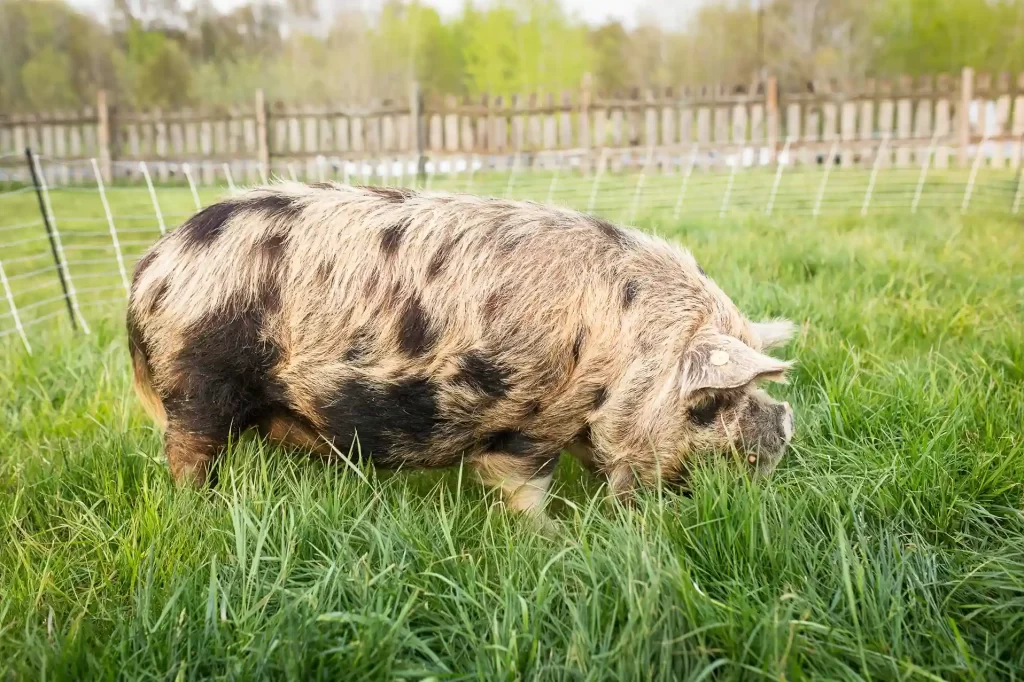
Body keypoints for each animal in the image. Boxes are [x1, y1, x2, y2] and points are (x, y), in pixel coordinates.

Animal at [128, 183, 794, 518]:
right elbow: (522, 484)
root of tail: (151, 265)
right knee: (188, 454)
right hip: (199, 378)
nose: (787, 424)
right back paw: (200, 512)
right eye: (713, 401)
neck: (628, 354)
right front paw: (552, 539)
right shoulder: (530, 418)